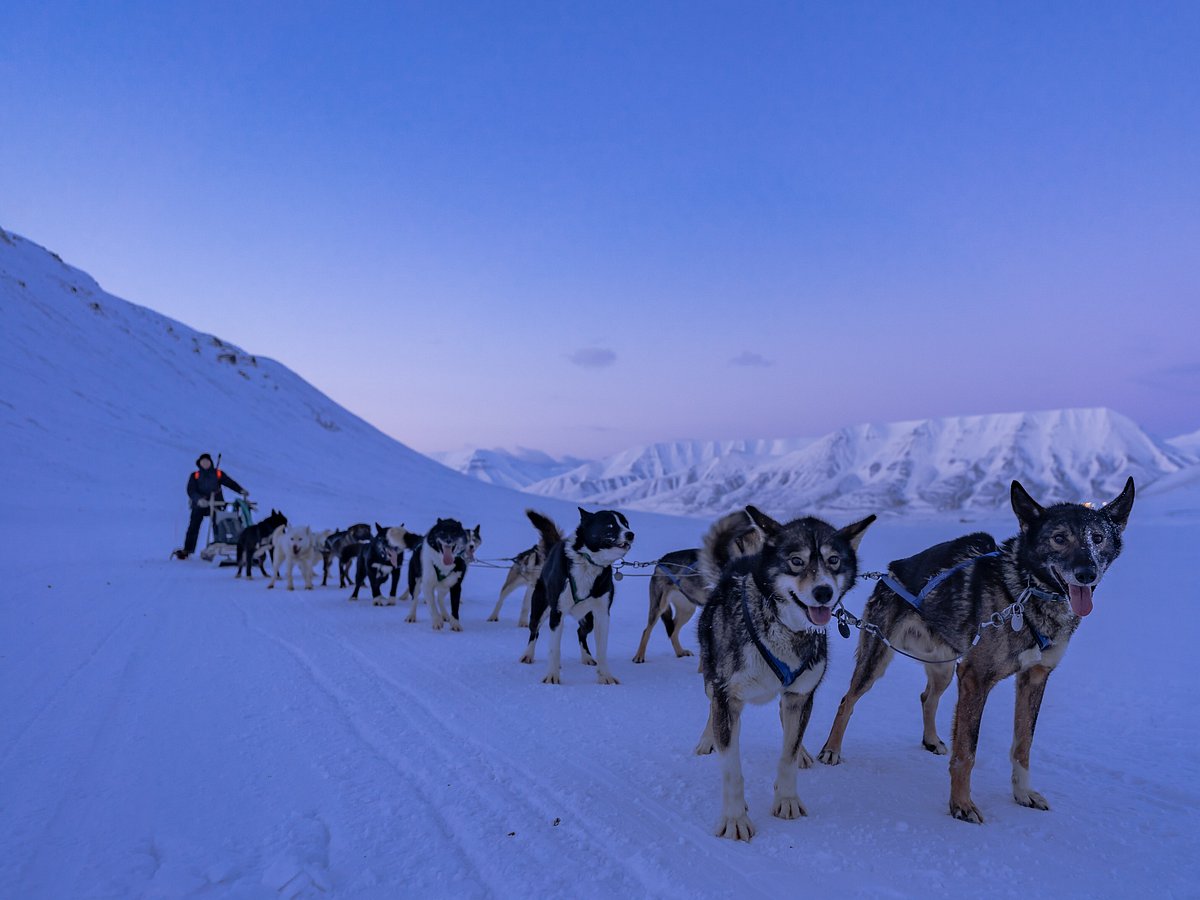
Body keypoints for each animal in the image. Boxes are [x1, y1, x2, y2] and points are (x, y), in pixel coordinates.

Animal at [696, 508, 873, 844]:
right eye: (796, 561)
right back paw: (707, 740)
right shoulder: (728, 698)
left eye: (833, 560)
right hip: (712, 679)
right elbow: (732, 768)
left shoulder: (800, 695)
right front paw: (735, 818)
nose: (823, 592)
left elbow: (787, 755)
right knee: (710, 707)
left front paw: (787, 799)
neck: (785, 628)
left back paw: (801, 752)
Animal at [820, 480, 1137, 825]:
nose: (1086, 573)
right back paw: (831, 750)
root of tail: (890, 572)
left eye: (1098, 538)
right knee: (847, 700)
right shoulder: (975, 678)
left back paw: (930, 740)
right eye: (1059, 538)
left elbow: (1023, 744)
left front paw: (1023, 793)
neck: (1023, 592)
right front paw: (961, 804)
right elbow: (967, 752)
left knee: (927, 697)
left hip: (945, 668)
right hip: (877, 660)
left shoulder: (1034, 677)